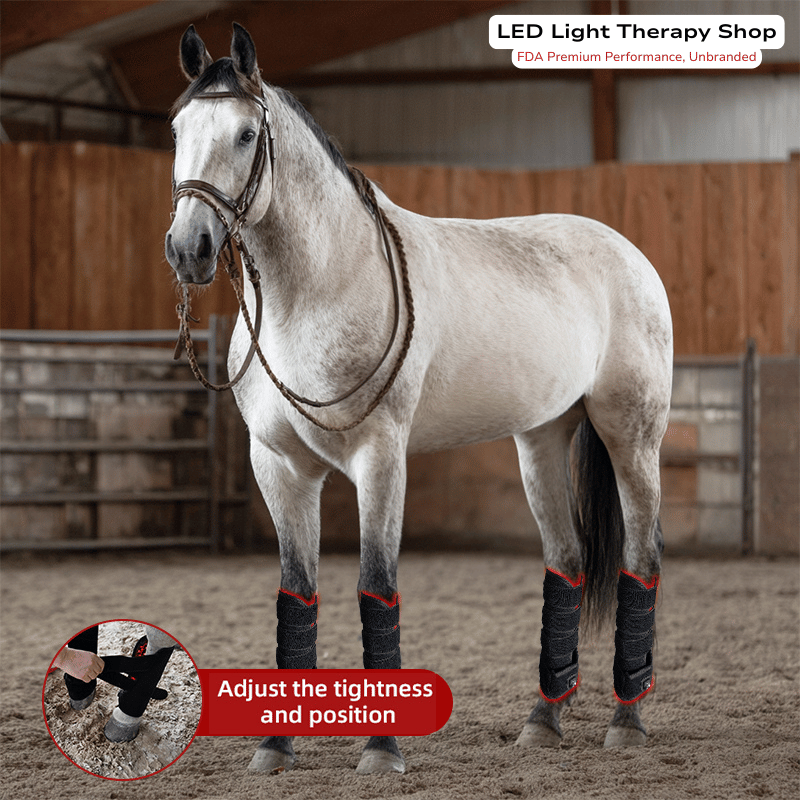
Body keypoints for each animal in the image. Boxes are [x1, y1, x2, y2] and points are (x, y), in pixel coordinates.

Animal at [165, 23, 672, 775]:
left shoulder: (380, 458)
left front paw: (381, 752)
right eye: (178, 129)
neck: (318, 289)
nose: (188, 248)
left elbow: (376, 585)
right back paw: (542, 722)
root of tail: (630, 257)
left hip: (631, 437)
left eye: (245, 135)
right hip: (542, 441)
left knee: (641, 562)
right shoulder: (279, 465)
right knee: (567, 563)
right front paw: (275, 747)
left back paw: (628, 723)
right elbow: (297, 592)